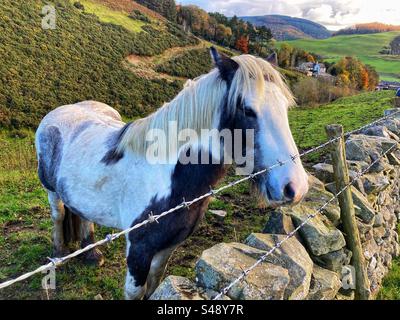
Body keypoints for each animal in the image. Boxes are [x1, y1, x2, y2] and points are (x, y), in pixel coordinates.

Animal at [35, 48, 310, 300]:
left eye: (286, 107)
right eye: (246, 109)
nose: (295, 187)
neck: (166, 176)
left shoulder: (168, 246)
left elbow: (155, 284)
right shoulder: (139, 249)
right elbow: (135, 292)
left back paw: (91, 254)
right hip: (51, 191)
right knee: (59, 215)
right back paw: (59, 255)